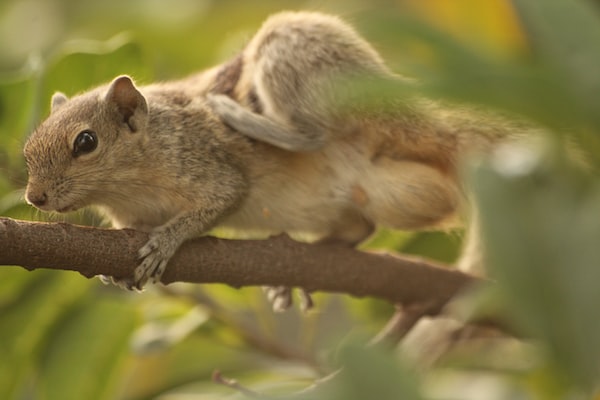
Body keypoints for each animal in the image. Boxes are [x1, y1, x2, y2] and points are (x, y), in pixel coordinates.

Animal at [24, 10, 516, 310]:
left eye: (85, 142)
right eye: (28, 150)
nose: (34, 198)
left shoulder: (200, 158)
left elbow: (223, 196)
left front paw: (166, 241)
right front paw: (117, 276)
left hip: (294, 53)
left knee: (313, 135)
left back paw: (246, 117)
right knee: (360, 227)